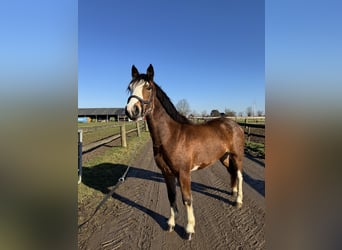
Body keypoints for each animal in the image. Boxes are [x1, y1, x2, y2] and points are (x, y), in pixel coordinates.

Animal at [124, 64, 244, 240]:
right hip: (224, 156)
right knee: (232, 172)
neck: (171, 136)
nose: (131, 110)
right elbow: (171, 196)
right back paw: (233, 192)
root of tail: (234, 124)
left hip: (237, 155)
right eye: (130, 87)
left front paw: (189, 229)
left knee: (240, 175)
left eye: (148, 87)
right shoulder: (166, 172)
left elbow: (187, 199)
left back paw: (238, 201)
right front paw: (171, 224)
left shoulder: (183, 173)